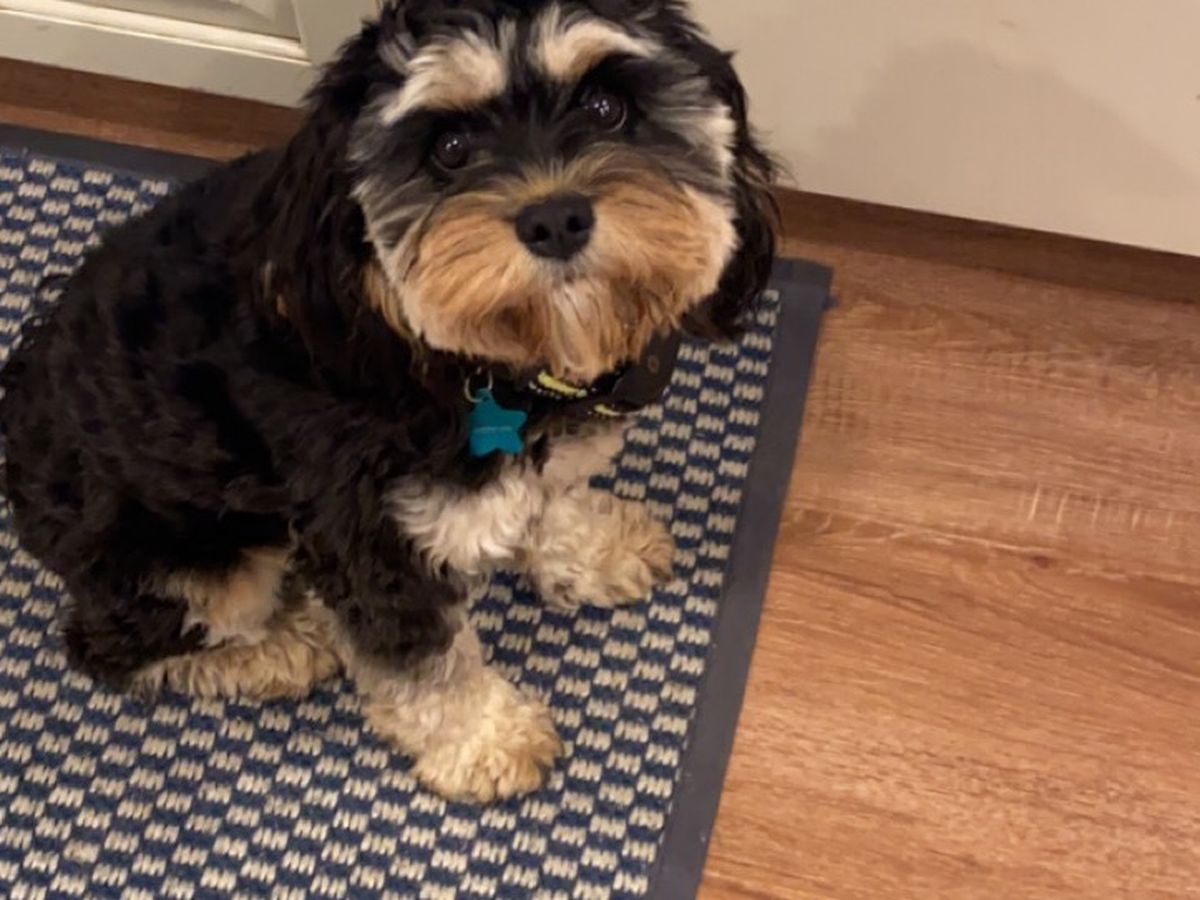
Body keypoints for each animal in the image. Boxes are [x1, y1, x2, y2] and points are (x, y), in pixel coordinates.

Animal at [0, 0, 775, 802]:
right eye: (451, 149)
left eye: (606, 107)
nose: (556, 218)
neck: (483, 369)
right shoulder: (373, 539)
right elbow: (427, 662)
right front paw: (485, 742)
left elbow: (554, 501)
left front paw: (598, 548)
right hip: (191, 559)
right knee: (114, 646)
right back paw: (285, 645)